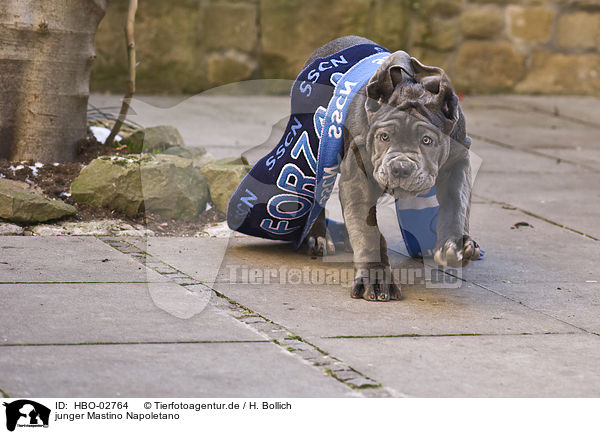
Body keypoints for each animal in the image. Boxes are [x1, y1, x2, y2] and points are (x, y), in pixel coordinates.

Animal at [308, 35, 480, 302]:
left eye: (427, 140)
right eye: (384, 137)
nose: (400, 167)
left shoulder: (458, 160)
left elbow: (456, 205)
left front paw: (454, 244)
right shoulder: (357, 179)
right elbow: (367, 231)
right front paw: (376, 278)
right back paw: (318, 236)